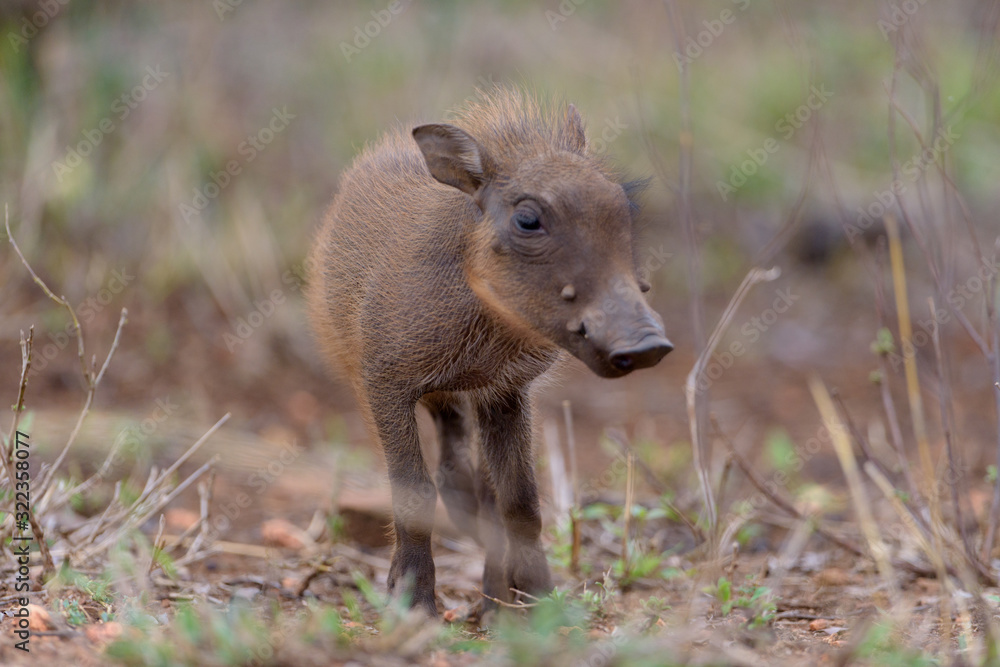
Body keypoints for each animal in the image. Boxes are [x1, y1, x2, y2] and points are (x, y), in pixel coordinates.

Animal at [307, 87, 672, 617]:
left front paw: (534, 602)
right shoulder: (384, 384)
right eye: (528, 219)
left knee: (474, 486)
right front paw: (414, 605)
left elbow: (520, 502)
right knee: (453, 481)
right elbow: (414, 492)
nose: (647, 345)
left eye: (624, 208)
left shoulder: (505, 392)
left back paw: (494, 599)